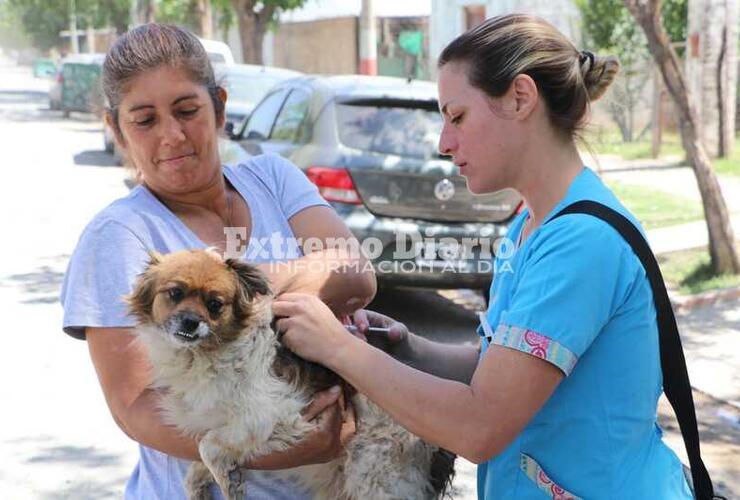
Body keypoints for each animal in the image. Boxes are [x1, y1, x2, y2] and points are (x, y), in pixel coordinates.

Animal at [125, 250, 456, 500]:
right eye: (175, 293)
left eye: (215, 304)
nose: (190, 322)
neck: (205, 354)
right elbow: (200, 459)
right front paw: (209, 482)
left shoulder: (272, 414)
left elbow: (208, 445)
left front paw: (227, 482)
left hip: (375, 476)